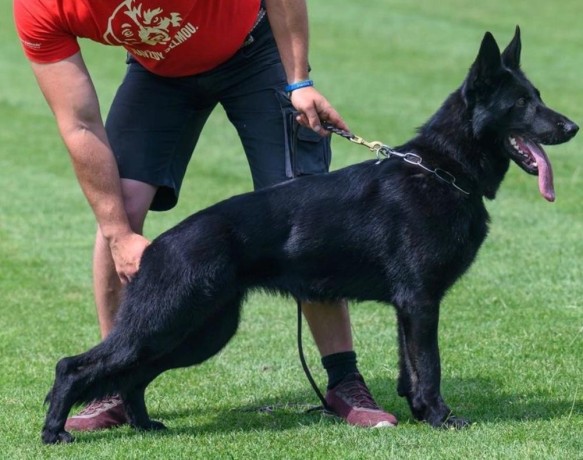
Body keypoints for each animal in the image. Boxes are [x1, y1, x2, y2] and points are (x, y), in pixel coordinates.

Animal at [42, 27, 580, 442]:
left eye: (538, 97)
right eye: (521, 103)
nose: (572, 127)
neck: (443, 169)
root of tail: (154, 247)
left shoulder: (409, 307)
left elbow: (409, 368)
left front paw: (419, 413)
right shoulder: (422, 302)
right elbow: (429, 366)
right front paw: (441, 418)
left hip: (201, 331)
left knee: (132, 375)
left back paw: (144, 426)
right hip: (171, 323)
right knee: (75, 366)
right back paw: (55, 431)